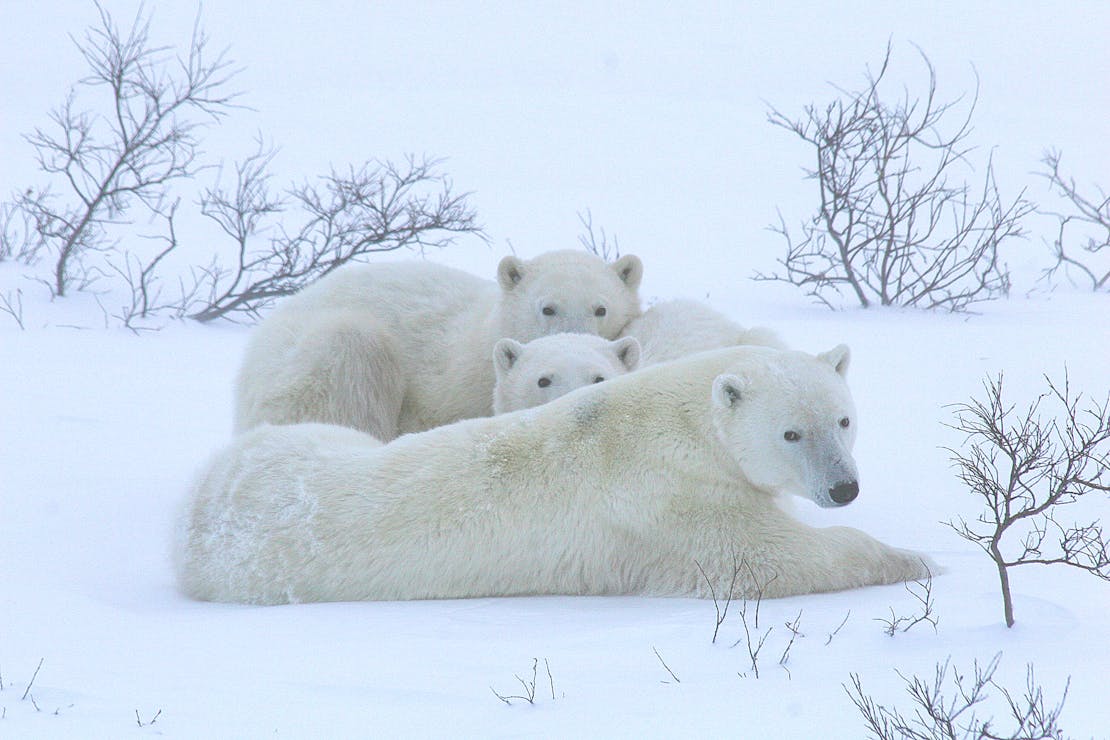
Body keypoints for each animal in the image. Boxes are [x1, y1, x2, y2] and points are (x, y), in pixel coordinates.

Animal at [177, 344, 933, 605]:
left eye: (844, 420)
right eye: (790, 433)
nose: (843, 488)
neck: (678, 422)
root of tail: (194, 509)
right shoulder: (667, 504)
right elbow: (768, 558)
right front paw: (917, 559)